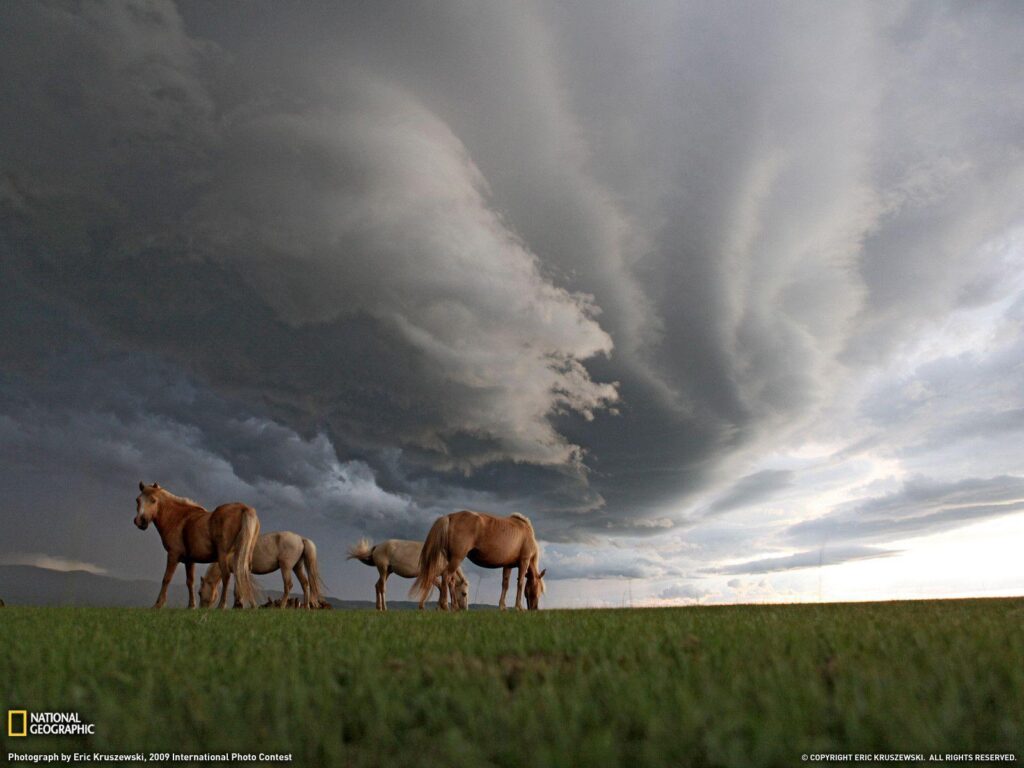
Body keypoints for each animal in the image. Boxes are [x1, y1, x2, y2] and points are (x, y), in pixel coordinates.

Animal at [134, 481, 262, 614]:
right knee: (244, 574)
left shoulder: (173, 555)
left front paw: (158, 604)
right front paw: (191, 605)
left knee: (226, 576)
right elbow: (190, 582)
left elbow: (166, 579)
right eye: (138, 500)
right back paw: (251, 605)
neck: (177, 518)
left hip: (223, 556)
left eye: (153, 500)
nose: (140, 521)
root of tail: (244, 508)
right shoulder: (189, 561)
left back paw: (222, 605)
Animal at [197, 532, 325, 610]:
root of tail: (301, 539)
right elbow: (237, 589)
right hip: (297, 567)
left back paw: (282, 606)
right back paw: (307, 607)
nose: (201, 608)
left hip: (286, 567)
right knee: (305, 584)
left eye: (199, 592)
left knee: (288, 585)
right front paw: (237, 605)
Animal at [413, 512, 548, 614]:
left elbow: (505, 584)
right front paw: (519, 607)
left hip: (451, 559)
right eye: (539, 589)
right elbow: (520, 583)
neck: (526, 533)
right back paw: (445, 605)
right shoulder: (524, 562)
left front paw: (502, 606)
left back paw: (454, 607)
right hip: (457, 558)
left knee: (450, 580)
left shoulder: (507, 565)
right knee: (446, 575)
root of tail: (450, 517)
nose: (534, 609)